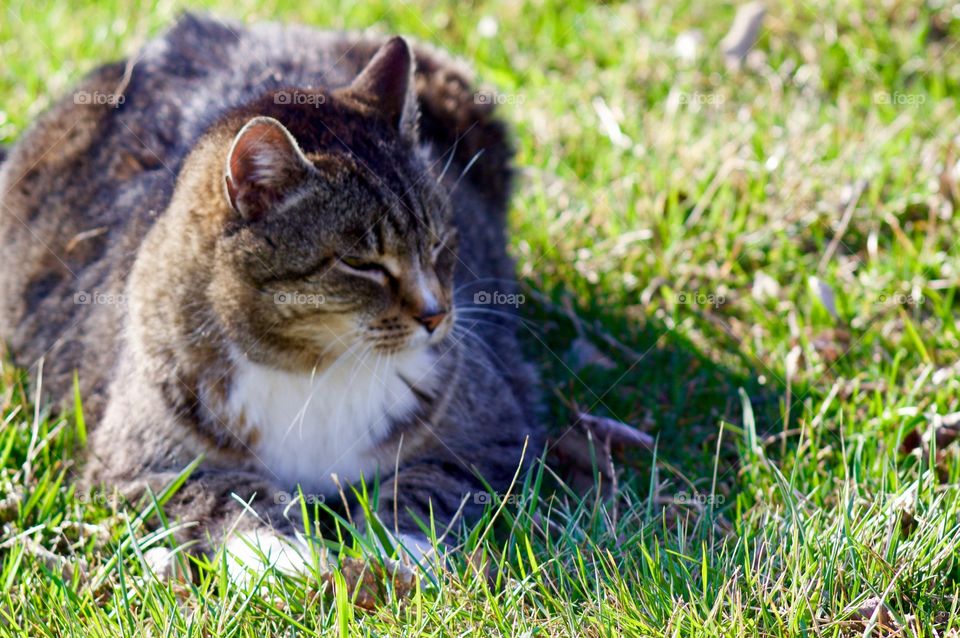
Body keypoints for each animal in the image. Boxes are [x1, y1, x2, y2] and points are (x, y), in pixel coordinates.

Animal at [0, 12, 540, 576]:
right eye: (360, 263)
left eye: (440, 243)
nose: (437, 315)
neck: (317, 367)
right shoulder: (138, 466)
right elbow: (226, 499)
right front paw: (290, 561)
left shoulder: (491, 435)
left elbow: (431, 485)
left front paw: (399, 551)